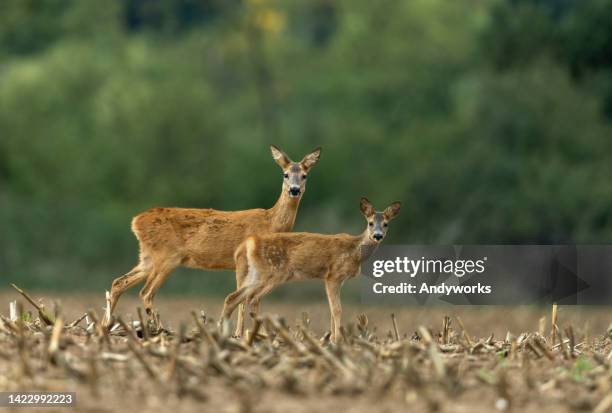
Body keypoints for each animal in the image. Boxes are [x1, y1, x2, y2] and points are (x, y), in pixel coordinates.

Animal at [101, 145, 320, 326]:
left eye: (305, 175)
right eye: (285, 174)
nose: (294, 190)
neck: (271, 223)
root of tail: (136, 221)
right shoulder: (244, 260)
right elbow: (243, 300)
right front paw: (240, 335)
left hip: (148, 257)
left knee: (119, 282)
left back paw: (105, 327)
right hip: (167, 256)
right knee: (146, 293)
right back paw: (160, 329)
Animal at [222, 196, 400, 342]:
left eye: (386, 224)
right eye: (370, 223)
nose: (377, 235)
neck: (355, 251)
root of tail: (249, 243)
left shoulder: (337, 279)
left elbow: (331, 309)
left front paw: (331, 339)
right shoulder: (333, 275)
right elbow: (337, 309)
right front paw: (337, 340)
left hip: (258, 273)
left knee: (238, 297)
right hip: (270, 272)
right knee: (247, 298)